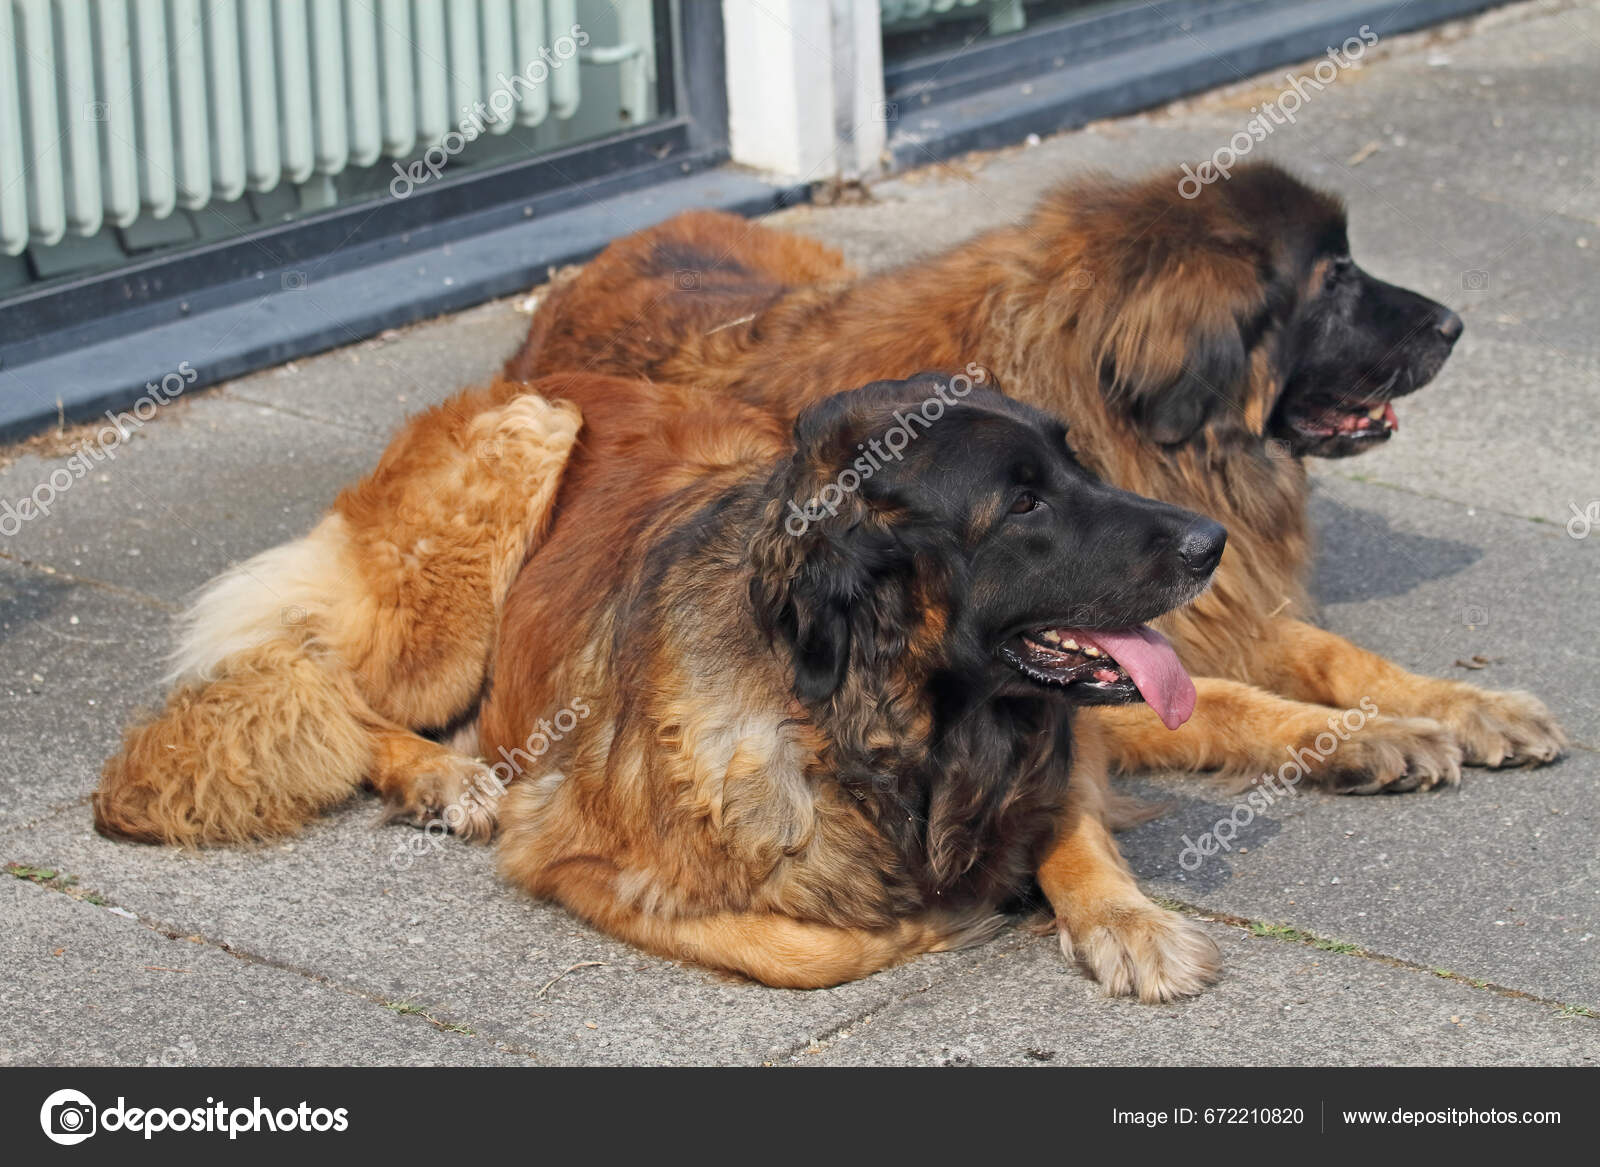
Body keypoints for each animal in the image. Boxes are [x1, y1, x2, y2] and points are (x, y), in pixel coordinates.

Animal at [96, 372, 1222, 998]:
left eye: (1077, 465)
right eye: (1023, 503)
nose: (1211, 541)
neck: (877, 725)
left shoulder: (1051, 754)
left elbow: (1075, 827)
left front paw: (1127, 922)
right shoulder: (576, 855)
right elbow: (807, 948)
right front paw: (932, 923)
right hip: (508, 478)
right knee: (325, 676)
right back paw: (439, 777)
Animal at [508, 161, 1561, 790]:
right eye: (1334, 279)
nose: (1455, 324)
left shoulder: (1216, 606)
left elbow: (1344, 656)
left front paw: (1468, 704)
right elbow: (1227, 699)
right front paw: (1369, 736)